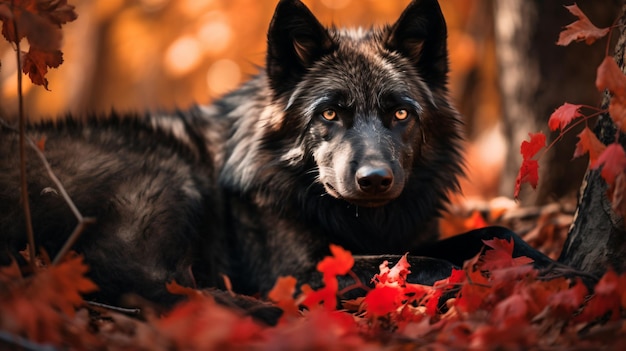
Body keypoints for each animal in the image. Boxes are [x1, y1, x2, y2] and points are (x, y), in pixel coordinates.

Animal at [0, 0, 552, 308]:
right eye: (329, 114)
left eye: (400, 113)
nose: (374, 179)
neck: (358, 221)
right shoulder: (300, 271)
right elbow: (424, 262)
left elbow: (494, 233)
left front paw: (557, 268)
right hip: (170, 173)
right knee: (131, 279)